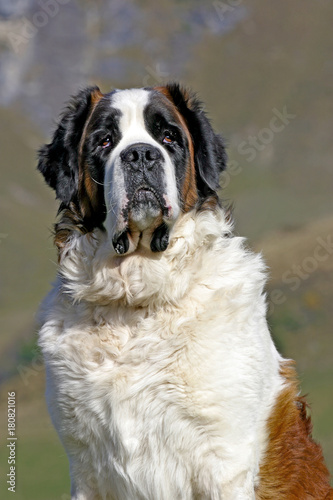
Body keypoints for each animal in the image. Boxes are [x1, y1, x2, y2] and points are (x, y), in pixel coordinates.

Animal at [37, 85, 332, 500]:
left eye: (168, 137)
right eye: (105, 140)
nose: (140, 154)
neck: (136, 304)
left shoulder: (224, 463)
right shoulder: (87, 471)